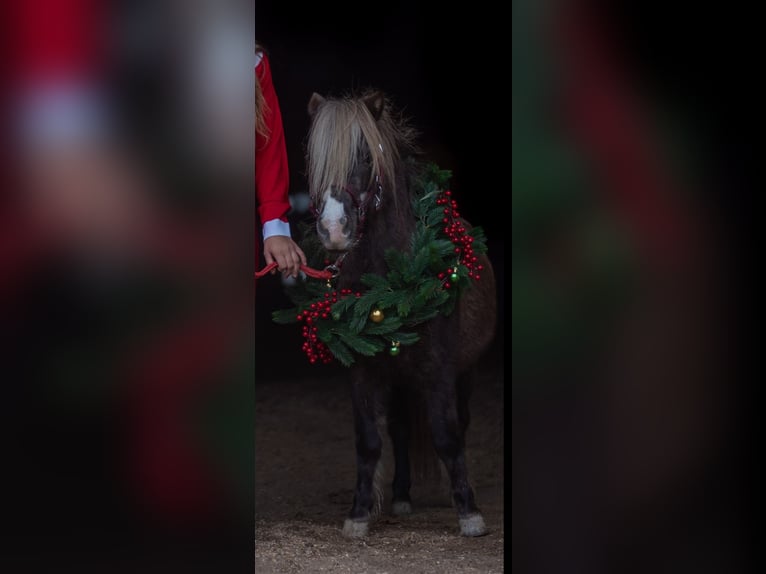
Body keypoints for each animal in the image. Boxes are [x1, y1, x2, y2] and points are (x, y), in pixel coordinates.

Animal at [305, 89, 497, 537]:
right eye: (314, 160)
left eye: (364, 156)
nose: (334, 230)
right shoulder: (362, 372)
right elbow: (369, 441)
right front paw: (359, 514)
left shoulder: (441, 371)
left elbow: (447, 436)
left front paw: (469, 512)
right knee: (400, 429)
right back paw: (402, 496)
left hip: (465, 372)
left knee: (458, 423)